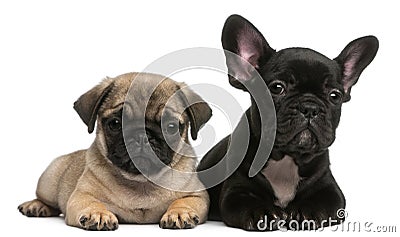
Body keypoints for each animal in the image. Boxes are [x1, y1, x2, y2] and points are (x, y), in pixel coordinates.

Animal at [18, 71, 212, 230]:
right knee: (46, 199)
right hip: (48, 182)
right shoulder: (81, 196)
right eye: (115, 124)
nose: (142, 136)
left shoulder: (197, 196)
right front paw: (98, 213)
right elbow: (92, 203)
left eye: (171, 127)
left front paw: (179, 212)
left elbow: (184, 201)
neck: (140, 182)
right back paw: (36, 206)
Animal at [198, 13, 380, 231]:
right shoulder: (236, 191)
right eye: (277, 88)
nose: (310, 108)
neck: (286, 157)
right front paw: (263, 211)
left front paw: (307, 211)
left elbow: (324, 201)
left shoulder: (330, 190)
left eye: (335, 95)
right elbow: (246, 201)